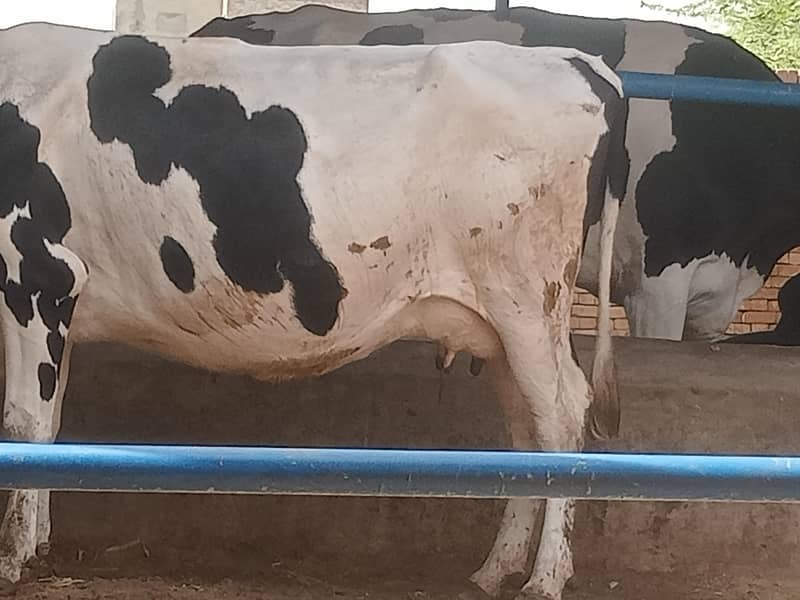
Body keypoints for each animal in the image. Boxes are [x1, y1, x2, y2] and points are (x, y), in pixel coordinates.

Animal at [0, 23, 628, 600]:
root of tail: (579, 61)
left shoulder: (38, 274)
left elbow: (23, 423)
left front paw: (12, 558)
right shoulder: (61, 301)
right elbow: (50, 421)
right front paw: (37, 543)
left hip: (528, 299)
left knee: (561, 415)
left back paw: (545, 577)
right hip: (497, 324)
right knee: (527, 430)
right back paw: (496, 569)